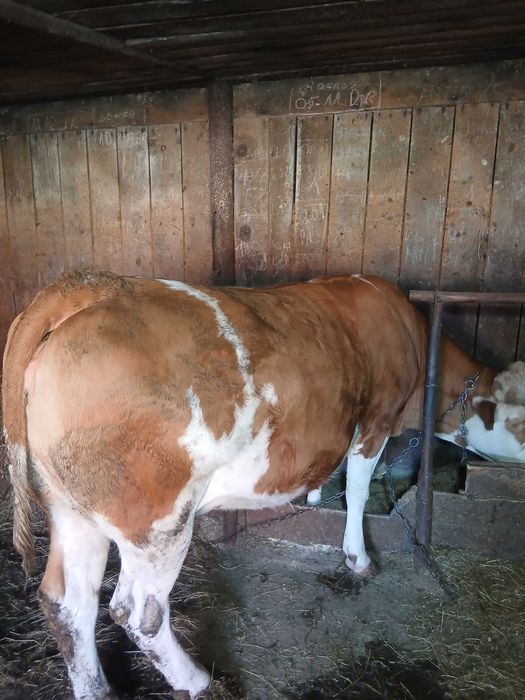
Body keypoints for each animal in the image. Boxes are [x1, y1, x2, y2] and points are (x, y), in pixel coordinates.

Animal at [2, 270, 524, 699]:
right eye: (521, 421)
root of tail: (91, 286)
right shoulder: (376, 419)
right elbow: (358, 490)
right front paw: (357, 558)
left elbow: (332, 474)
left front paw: (313, 495)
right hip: (157, 522)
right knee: (137, 613)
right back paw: (196, 680)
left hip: (71, 509)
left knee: (68, 603)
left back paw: (96, 688)